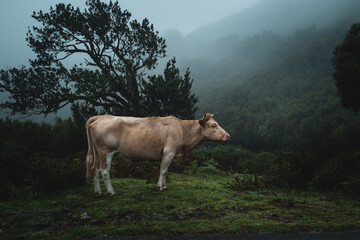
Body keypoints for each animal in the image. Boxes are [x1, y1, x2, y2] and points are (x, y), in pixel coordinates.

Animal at [86, 113, 229, 195]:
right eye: (213, 125)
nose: (228, 135)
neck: (182, 130)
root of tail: (101, 117)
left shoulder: (169, 154)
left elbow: (166, 171)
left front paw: (164, 186)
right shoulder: (169, 151)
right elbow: (163, 170)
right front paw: (160, 186)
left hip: (97, 153)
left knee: (95, 169)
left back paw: (98, 192)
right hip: (106, 152)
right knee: (104, 171)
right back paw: (111, 192)